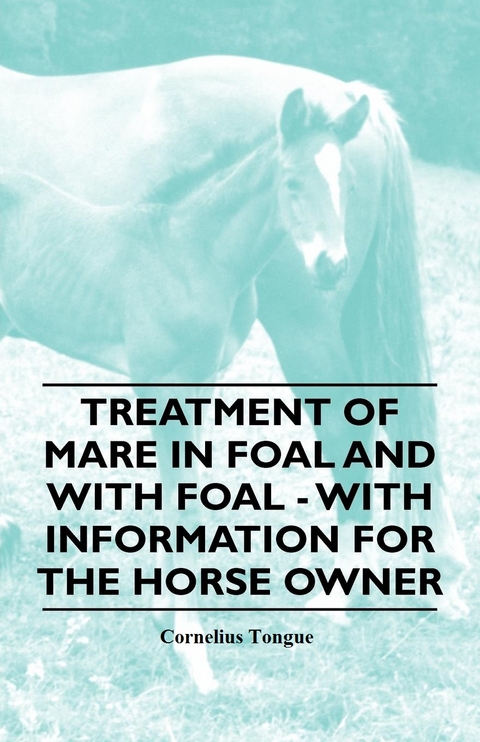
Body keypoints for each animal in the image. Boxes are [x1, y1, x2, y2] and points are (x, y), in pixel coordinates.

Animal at [0, 56, 468, 692]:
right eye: (291, 182)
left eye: (343, 185)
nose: (330, 264)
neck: (187, 249)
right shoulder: (170, 379)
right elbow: (179, 497)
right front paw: (181, 633)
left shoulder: (190, 378)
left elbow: (183, 496)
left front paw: (181, 636)